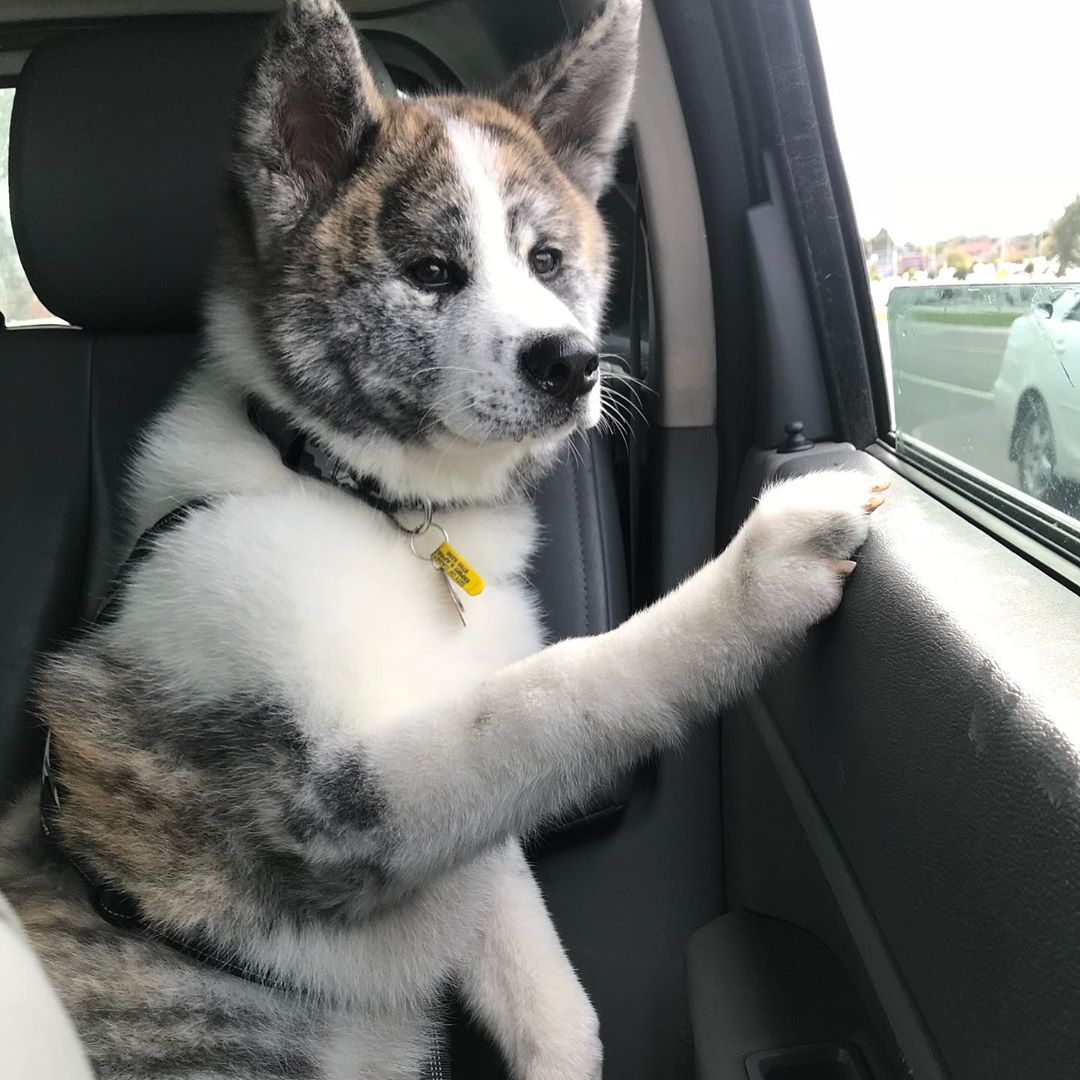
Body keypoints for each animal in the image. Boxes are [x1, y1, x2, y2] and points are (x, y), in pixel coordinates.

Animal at [0, 0, 885, 1075]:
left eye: (546, 259)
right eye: (430, 271)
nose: (575, 364)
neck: (360, 498)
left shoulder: (465, 842)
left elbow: (547, 988)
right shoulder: (324, 802)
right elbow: (557, 694)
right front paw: (761, 572)